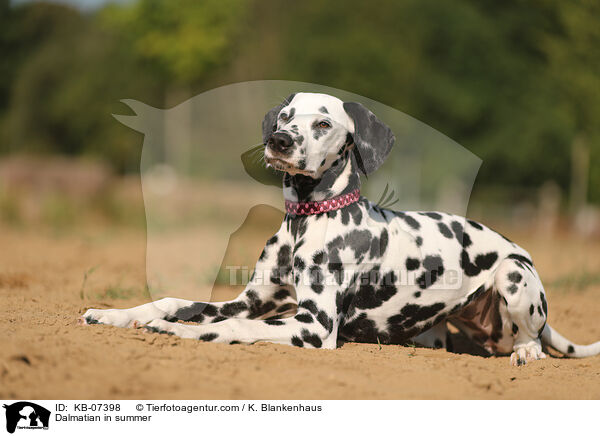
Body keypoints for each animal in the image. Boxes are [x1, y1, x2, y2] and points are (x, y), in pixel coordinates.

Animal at [81, 93, 600, 366]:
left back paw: (528, 354)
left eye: (324, 124)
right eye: (285, 117)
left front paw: (174, 332)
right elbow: (175, 301)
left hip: (513, 276)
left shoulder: (314, 326)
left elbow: (229, 327)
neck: (306, 221)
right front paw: (114, 314)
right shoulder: (251, 300)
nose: (278, 141)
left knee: (531, 340)